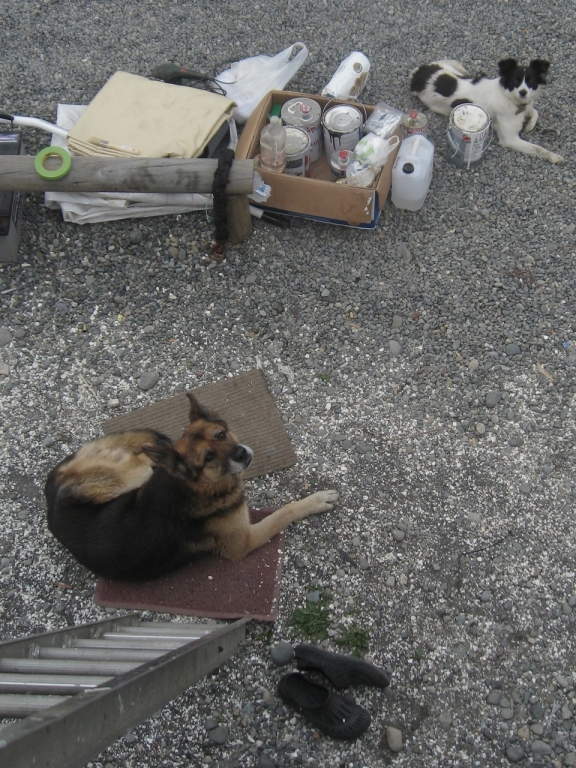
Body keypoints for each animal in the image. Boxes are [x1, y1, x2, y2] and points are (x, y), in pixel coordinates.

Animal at [45, 393, 338, 581]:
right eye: (207, 457)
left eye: (220, 434)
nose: (242, 454)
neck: (197, 487)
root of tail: (53, 492)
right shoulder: (243, 542)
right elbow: (283, 512)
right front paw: (315, 500)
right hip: (131, 474)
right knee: (142, 457)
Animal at [410, 58, 563, 164]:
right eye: (515, 80)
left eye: (531, 80)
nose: (523, 92)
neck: (509, 97)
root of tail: (418, 75)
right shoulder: (510, 139)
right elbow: (537, 148)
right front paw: (554, 156)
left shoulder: (526, 107)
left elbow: (534, 112)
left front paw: (530, 125)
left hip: (450, 68)